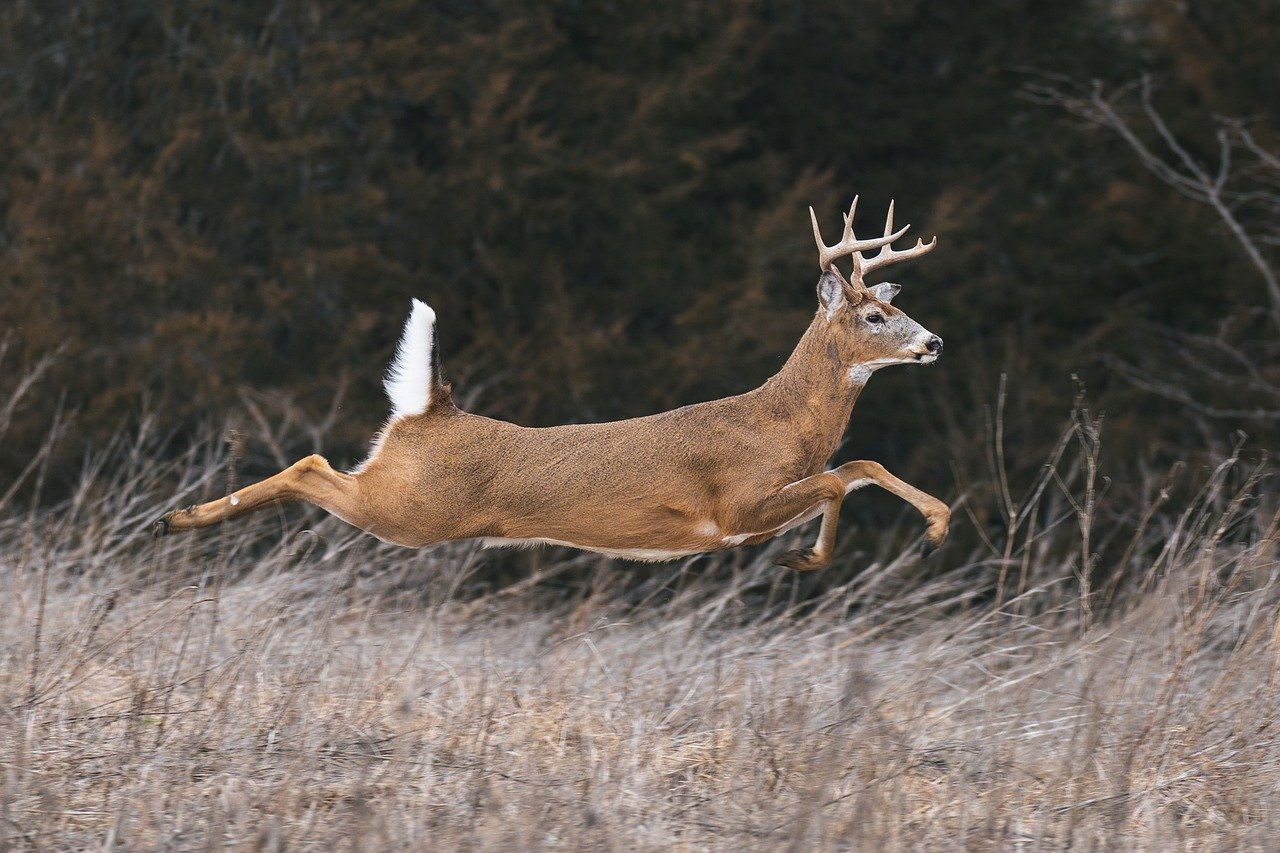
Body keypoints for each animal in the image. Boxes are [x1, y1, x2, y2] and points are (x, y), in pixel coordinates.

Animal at [152, 192, 952, 563]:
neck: (781, 425)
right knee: (312, 464)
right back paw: (178, 518)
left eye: (895, 306)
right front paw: (809, 558)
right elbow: (836, 479)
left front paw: (938, 525)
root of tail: (432, 409)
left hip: (402, 496)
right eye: (874, 314)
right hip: (409, 508)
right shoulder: (733, 508)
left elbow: (858, 465)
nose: (935, 341)